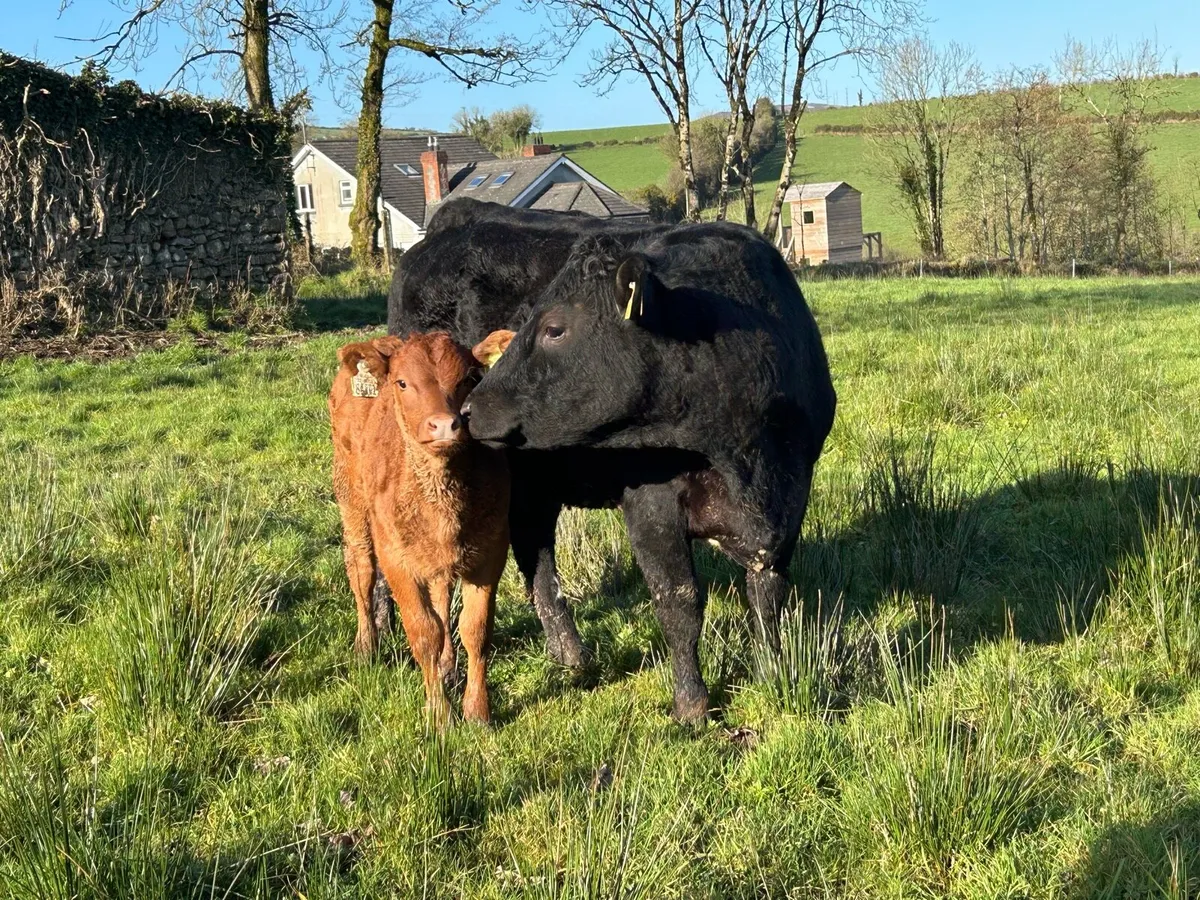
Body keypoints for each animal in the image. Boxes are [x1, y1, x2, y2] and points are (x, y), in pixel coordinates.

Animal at [329, 331, 510, 726]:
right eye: (402, 383)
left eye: (470, 379)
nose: (444, 424)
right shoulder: (397, 560)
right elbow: (423, 632)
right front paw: (440, 716)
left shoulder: (490, 553)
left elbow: (475, 629)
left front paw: (477, 712)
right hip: (350, 494)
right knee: (360, 568)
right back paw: (366, 646)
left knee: (441, 594)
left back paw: (447, 666)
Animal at [462, 224, 837, 722]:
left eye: (554, 329)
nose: (470, 408)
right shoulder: (650, 505)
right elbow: (679, 602)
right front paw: (692, 705)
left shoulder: (791, 499)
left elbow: (767, 596)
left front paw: (771, 675)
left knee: (536, 553)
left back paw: (568, 654)